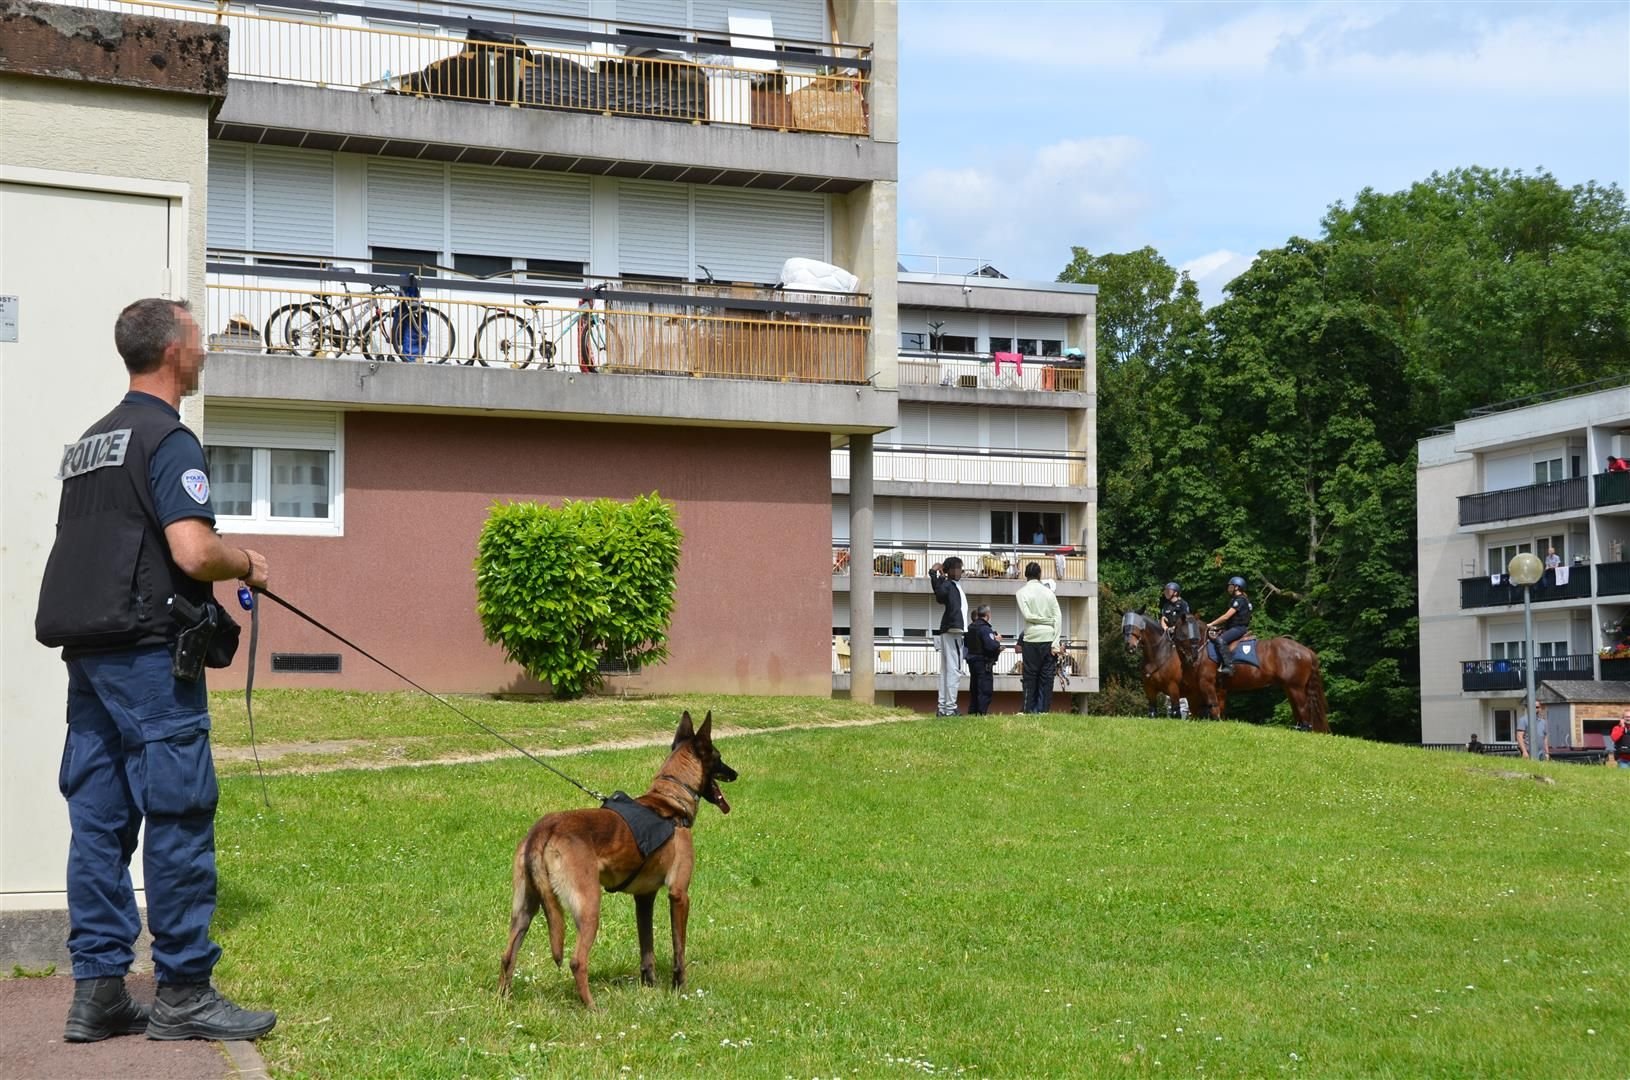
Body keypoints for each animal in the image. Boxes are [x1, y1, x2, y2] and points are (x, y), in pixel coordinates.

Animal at [495, 713, 740, 1009]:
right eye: (718, 757)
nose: (735, 774)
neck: (670, 802)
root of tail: (545, 828)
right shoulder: (679, 895)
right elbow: (678, 951)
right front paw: (680, 989)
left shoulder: (644, 898)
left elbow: (647, 951)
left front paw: (649, 988)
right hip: (589, 906)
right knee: (577, 961)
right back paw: (592, 1008)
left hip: (524, 908)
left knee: (507, 955)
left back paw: (503, 1001)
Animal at [1180, 615, 1330, 736]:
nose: (1192, 657)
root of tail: (1307, 651)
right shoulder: (1218, 687)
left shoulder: (1206, 683)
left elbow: (1212, 705)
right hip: (1290, 688)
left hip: (1296, 687)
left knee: (1303, 708)